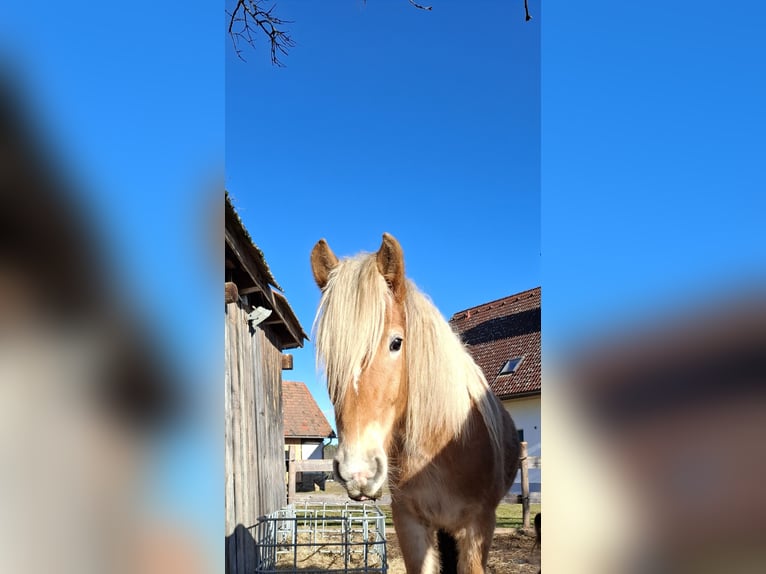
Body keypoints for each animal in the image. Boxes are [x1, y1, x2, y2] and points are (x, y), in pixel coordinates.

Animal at [312, 234, 520, 574]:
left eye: (396, 343)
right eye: (329, 355)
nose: (358, 472)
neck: (443, 446)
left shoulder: (478, 529)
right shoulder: (410, 524)